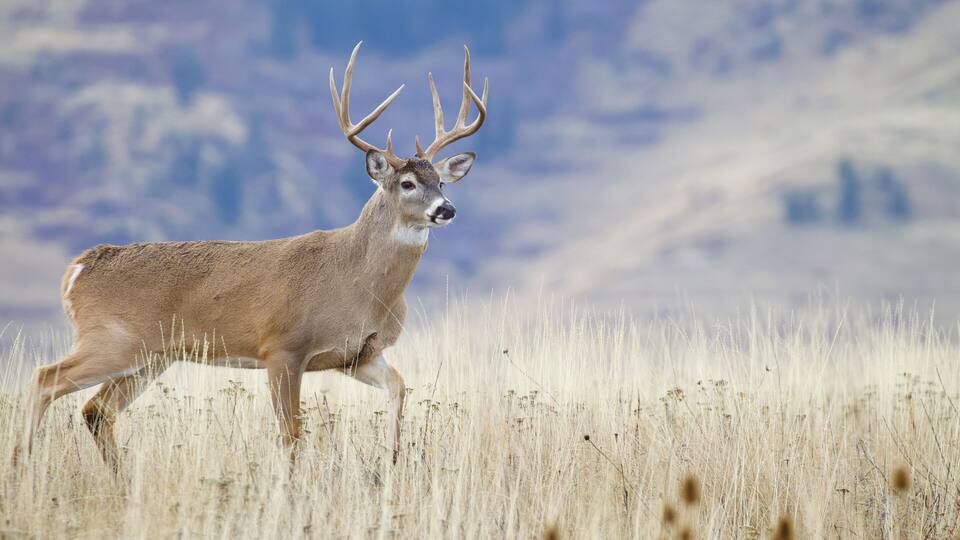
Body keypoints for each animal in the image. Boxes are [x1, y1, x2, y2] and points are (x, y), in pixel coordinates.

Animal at [18, 41, 487, 470]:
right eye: (407, 183)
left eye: (442, 182)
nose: (446, 209)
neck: (358, 282)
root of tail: (77, 269)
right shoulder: (281, 346)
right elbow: (291, 434)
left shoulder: (357, 355)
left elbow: (399, 387)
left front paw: (391, 460)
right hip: (111, 339)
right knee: (45, 379)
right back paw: (24, 465)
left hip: (150, 356)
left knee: (96, 410)